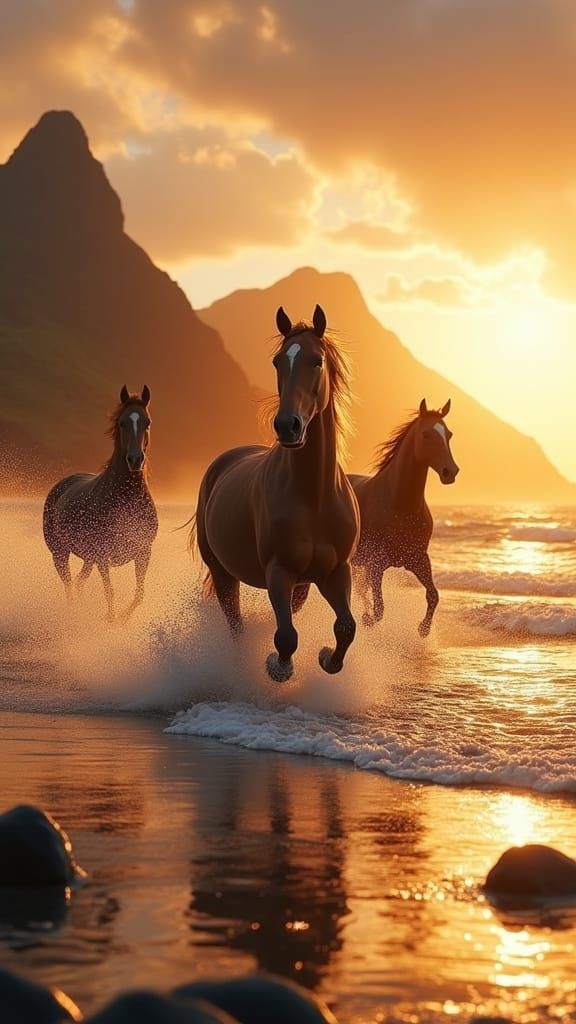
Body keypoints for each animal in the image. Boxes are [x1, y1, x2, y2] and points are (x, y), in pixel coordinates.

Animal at [43, 385, 158, 622]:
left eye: (147, 422)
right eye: (122, 423)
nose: (135, 460)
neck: (127, 501)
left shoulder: (143, 552)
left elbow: (139, 594)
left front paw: (122, 618)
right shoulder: (103, 557)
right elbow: (109, 592)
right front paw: (111, 620)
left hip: (88, 559)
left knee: (78, 583)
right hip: (60, 553)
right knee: (69, 586)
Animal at [192, 305, 359, 682]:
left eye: (317, 361)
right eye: (277, 361)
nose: (287, 426)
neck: (313, 497)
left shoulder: (335, 572)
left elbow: (346, 627)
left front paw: (326, 658)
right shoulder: (278, 572)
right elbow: (285, 637)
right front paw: (276, 666)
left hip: (302, 584)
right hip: (223, 573)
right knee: (235, 624)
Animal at [349, 399, 459, 636]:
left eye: (449, 434)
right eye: (426, 434)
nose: (450, 472)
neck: (400, 505)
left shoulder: (418, 559)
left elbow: (433, 595)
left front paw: (423, 629)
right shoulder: (376, 563)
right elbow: (379, 609)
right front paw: (368, 620)